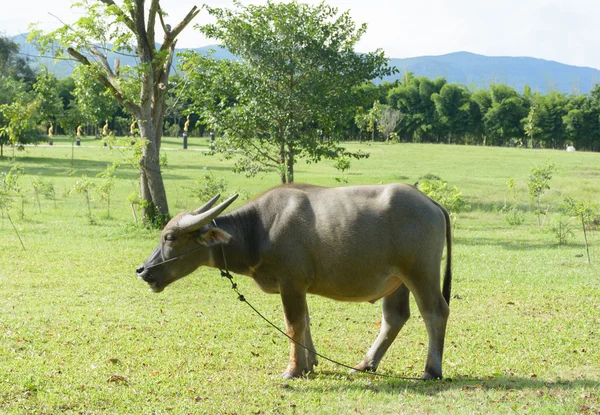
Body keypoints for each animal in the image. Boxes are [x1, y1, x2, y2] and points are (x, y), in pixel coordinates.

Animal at [136, 184, 452, 380]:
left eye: (169, 237)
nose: (143, 270)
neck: (258, 230)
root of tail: (431, 202)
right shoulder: (299, 287)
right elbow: (306, 321)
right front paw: (310, 363)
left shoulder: (290, 283)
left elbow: (293, 323)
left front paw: (293, 369)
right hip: (397, 281)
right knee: (394, 318)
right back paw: (365, 364)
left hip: (421, 272)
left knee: (435, 312)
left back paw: (431, 370)